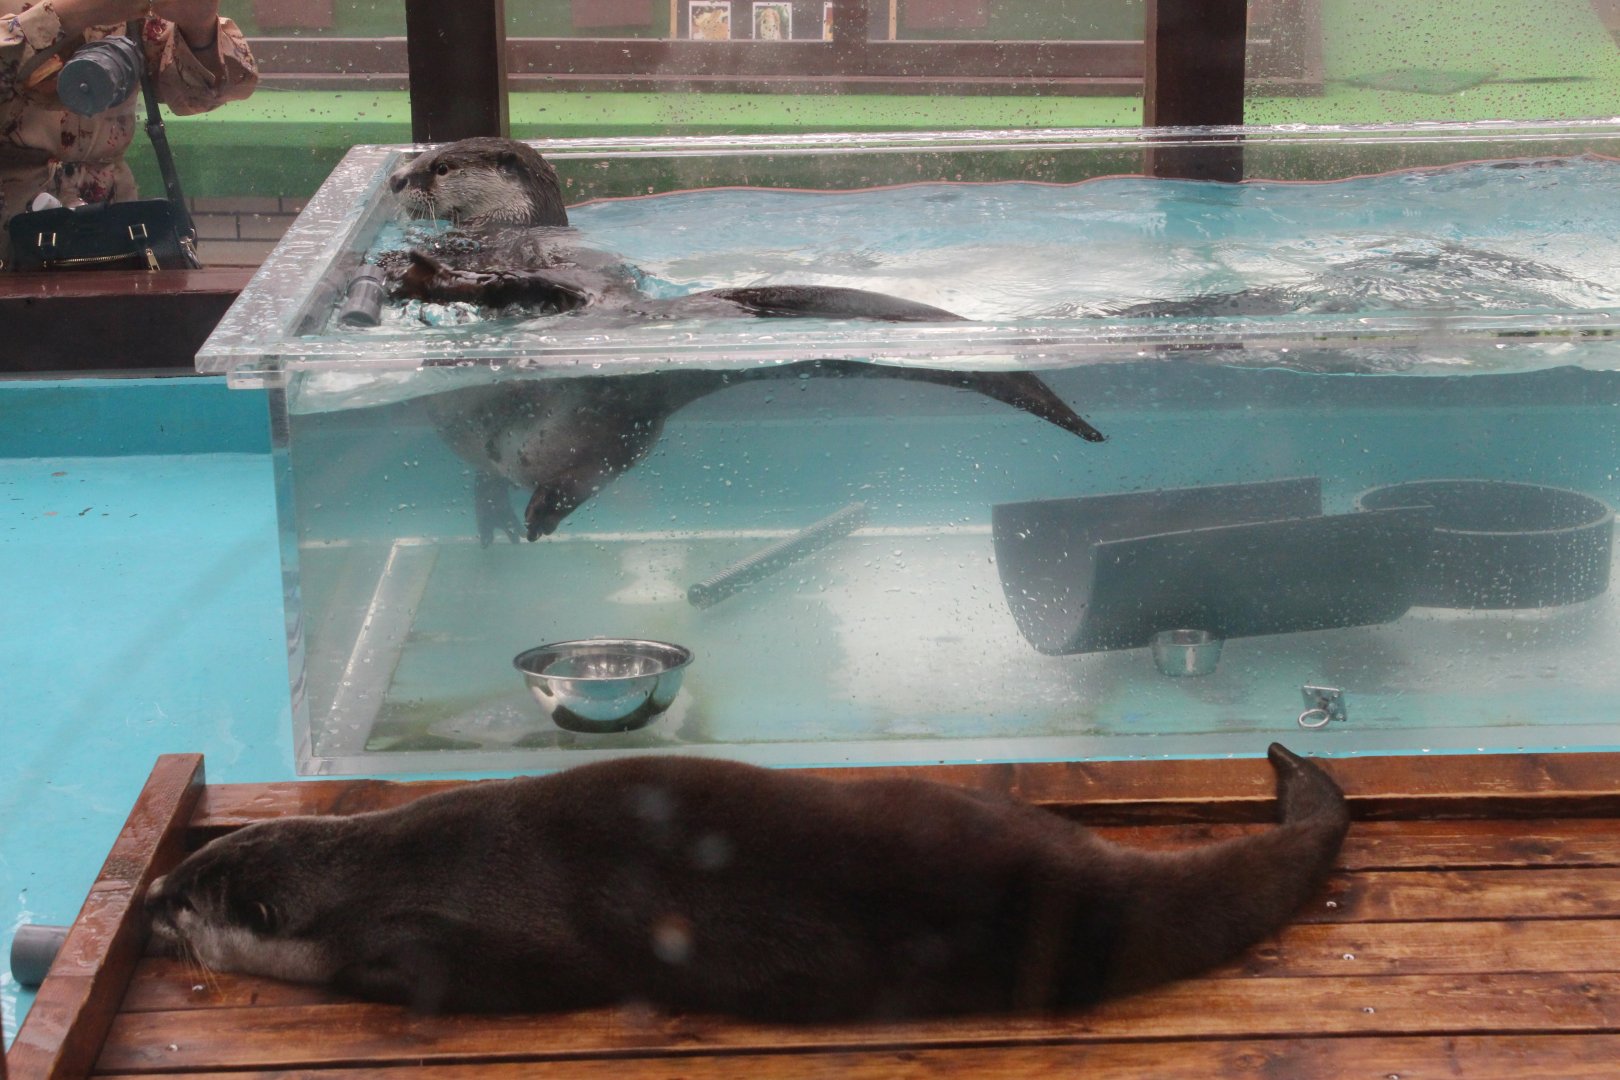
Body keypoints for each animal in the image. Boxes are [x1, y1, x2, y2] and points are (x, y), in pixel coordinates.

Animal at [380, 137, 1106, 542]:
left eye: (438, 166)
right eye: (415, 157)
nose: (391, 179)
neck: (506, 231)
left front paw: (417, 269)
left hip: (603, 403)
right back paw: (506, 516)